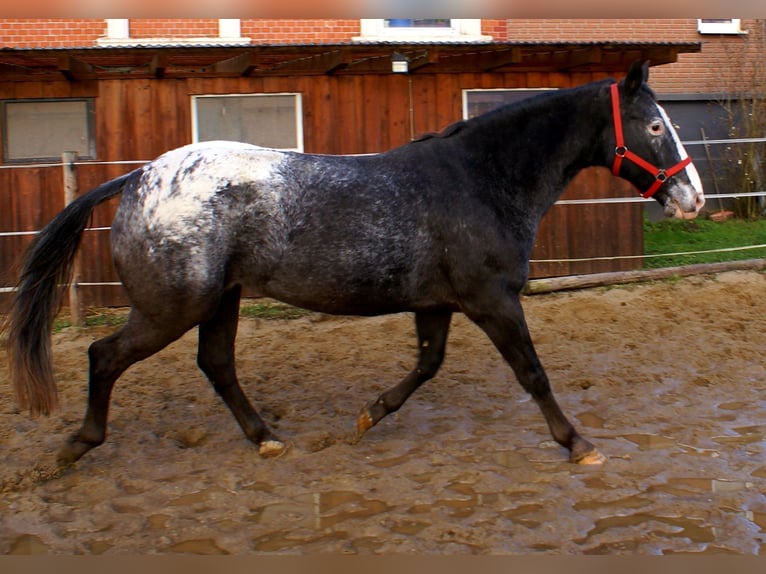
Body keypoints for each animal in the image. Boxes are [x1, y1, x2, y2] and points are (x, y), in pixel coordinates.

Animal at [1, 62, 708, 468]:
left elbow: (426, 367)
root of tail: (138, 177)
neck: (480, 181)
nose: (693, 198)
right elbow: (532, 374)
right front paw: (579, 446)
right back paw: (73, 448)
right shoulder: (493, 300)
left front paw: (368, 416)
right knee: (104, 357)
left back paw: (266, 438)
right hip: (171, 307)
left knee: (217, 364)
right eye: (653, 126)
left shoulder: (439, 303)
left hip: (221, 298)